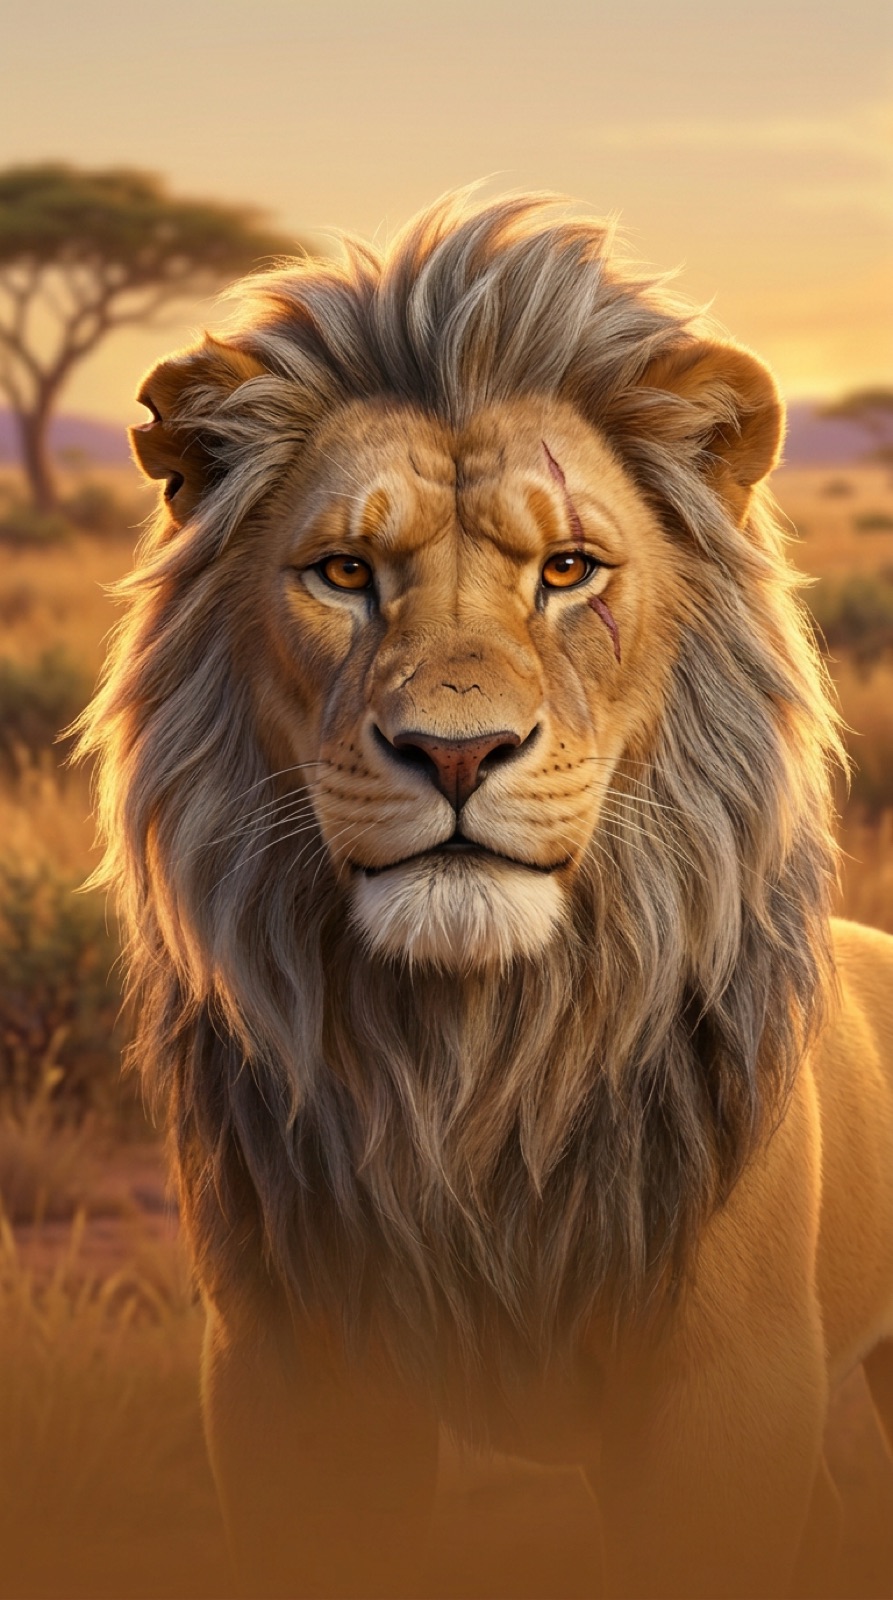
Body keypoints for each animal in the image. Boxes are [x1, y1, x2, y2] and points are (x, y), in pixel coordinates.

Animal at [79, 194, 893, 1599]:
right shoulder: (291, 1377)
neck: (472, 1060)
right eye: (344, 572)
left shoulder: (720, 1391)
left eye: (565, 570)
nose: (455, 754)